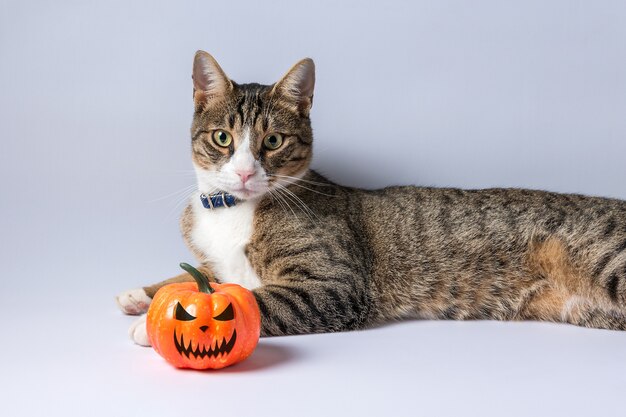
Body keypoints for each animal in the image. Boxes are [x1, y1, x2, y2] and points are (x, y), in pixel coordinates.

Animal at [117, 50, 624, 344]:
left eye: (274, 141)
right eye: (223, 138)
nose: (244, 172)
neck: (234, 210)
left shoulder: (332, 285)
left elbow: (250, 299)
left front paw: (161, 323)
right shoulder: (216, 262)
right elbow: (198, 276)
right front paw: (143, 294)